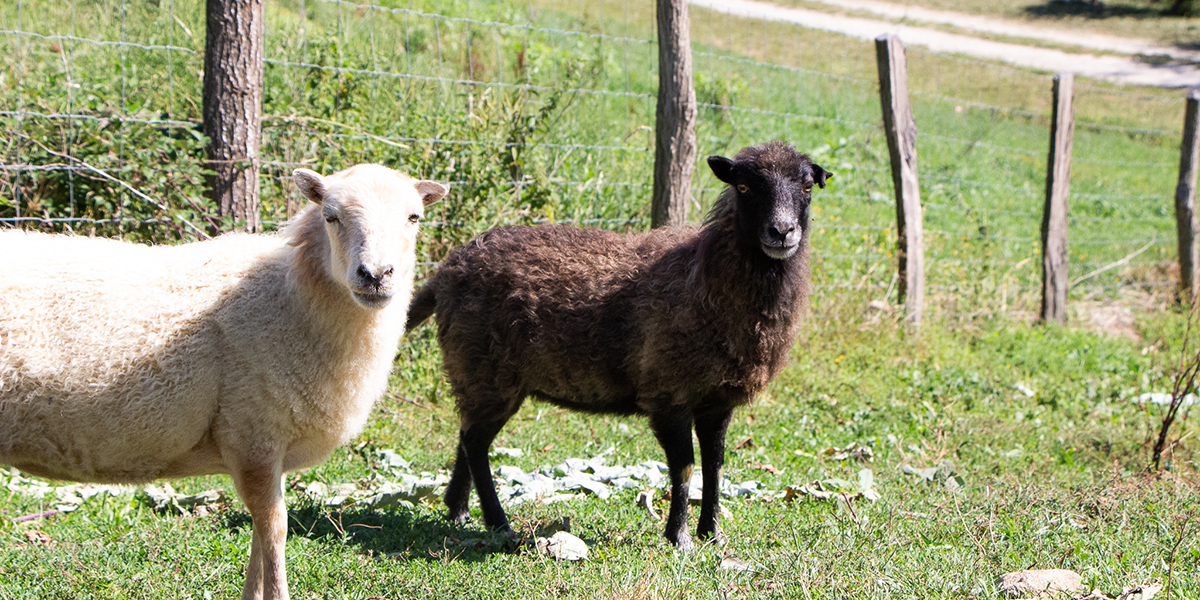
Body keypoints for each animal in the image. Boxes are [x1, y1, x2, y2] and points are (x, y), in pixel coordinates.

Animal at [0, 164, 447, 600]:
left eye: (414, 217)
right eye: (330, 216)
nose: (375, 274)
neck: (290, 296)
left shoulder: (267, 443)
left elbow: (260, 534)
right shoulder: (252, 431)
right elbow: (275, 529)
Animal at [406, 141, 830, 550]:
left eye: (808, 186)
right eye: (743, 187)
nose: (782, 232)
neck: (710, 275)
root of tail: (447, 271)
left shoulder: (717, 399)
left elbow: (715, 465)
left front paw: (712, 533)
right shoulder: (669, 392)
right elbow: (685, 466)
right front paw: (679, 538)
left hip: (479, 376)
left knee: (466, 436)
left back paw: (458, 510)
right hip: (487, 371)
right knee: (475, 443)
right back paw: (498, 522)